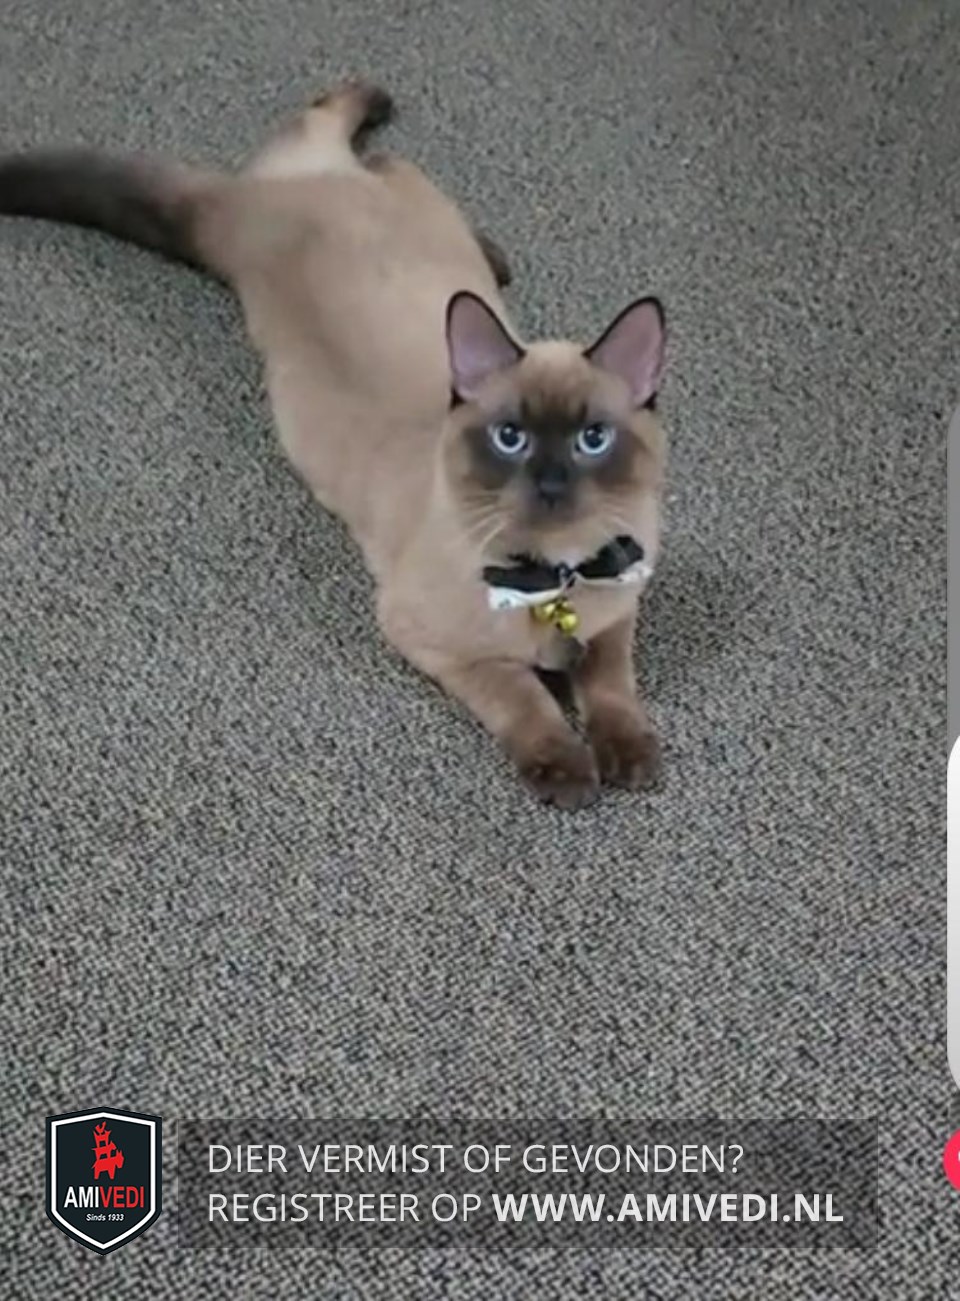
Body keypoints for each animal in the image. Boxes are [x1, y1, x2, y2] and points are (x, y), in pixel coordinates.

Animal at [0, 80, 667, 810]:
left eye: (593, 438)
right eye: (510, 437)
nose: (550, 483)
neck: (557, 577)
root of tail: (238, 216)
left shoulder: (620, 601)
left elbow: (609, 685)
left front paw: (630, 757)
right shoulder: (435, 642)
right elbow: (523, 696)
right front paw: (567, 771)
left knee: (360, 149)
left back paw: (484, 243)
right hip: (352, 182)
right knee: (327, 126)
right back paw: (382, 111)